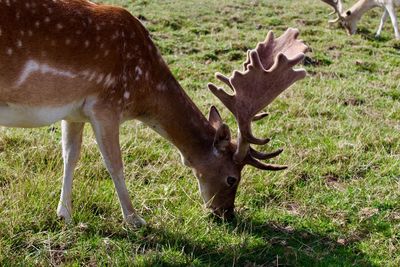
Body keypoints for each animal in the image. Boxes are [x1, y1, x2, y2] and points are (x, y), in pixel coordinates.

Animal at [0, 0, 308, 227]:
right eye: (233, 178)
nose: (225, 213)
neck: (142, 92)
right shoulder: (106, 105)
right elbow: (114, 164)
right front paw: (134, 219)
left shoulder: (74, 112)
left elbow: (70, 156)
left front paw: (64, 214)